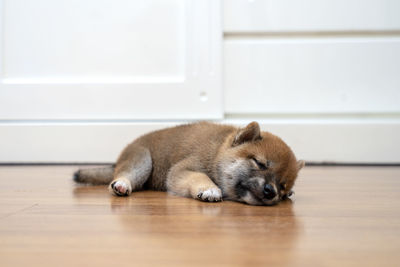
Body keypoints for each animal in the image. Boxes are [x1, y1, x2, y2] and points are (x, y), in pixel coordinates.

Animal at [74, 122, 304, 207]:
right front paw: (209, 189)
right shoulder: (183, 170)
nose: (271, 191)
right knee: (124, 175)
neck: (217, 152)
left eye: (283, 186)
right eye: (260, 163)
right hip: (142, 159)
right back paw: (121, 184)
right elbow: (200, 177)